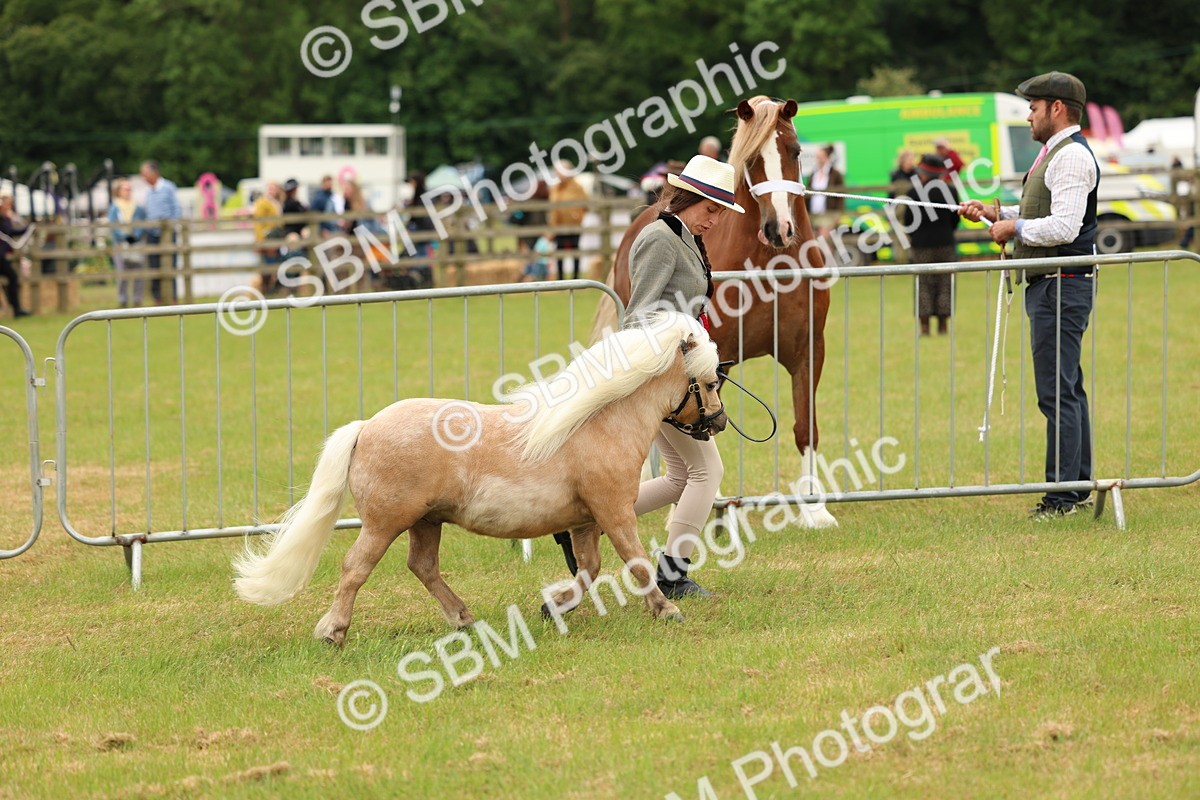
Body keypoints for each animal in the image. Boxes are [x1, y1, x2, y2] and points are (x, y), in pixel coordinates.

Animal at [232, 312, 727, 645]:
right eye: (708, 382)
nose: (719, 422)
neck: (599, 424)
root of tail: (366, 427)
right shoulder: (614, 512)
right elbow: (637, 561)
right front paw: (666, 610)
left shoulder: (586, 520)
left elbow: (589, 569)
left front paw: (555, 605)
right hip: (385, 522)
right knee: (356, 568)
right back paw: (333, 631)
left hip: (426, 522)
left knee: (423, 566)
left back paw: (463, 618)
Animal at [591, 95, 837, 527]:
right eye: (752, 159)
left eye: (795, 151)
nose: (778, 230)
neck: (769, 265)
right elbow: (699, 419)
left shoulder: (809, 349)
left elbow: (805, 427)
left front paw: (815, 509)